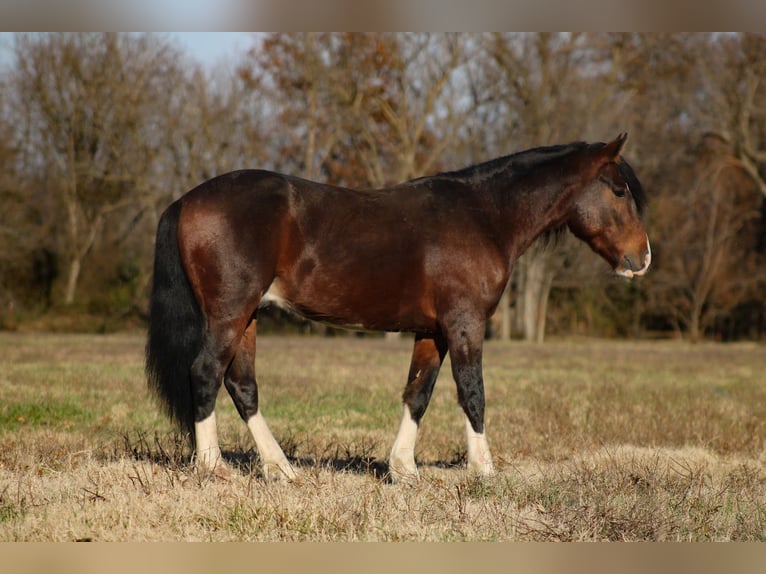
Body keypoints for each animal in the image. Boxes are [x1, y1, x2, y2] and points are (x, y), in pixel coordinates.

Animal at [145, 133, 650, 483]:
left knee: (242, 384)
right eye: (618, 189)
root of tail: (186, 200)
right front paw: (484, 472)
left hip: (247, 316)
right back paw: (212, 467)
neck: (485, 217)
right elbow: (472, 392)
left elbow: (418, 393)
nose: (642, 258)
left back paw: (281, 469)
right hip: (230, 313)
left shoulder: (433, 330)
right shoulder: (465, 323)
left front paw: (403, 469)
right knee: (206, 373)